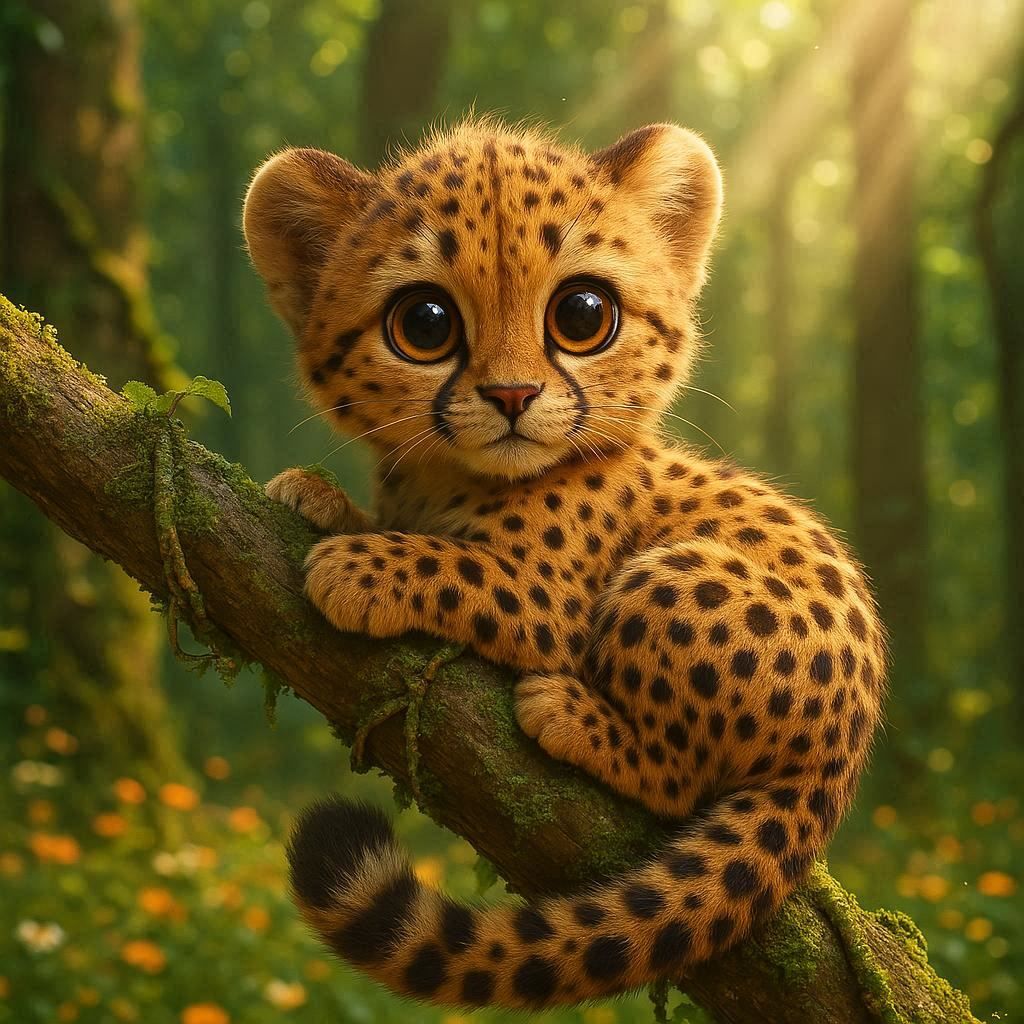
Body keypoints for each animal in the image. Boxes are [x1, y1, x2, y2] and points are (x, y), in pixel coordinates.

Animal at [243, 116, 887, 1010]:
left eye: (583, 315)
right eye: (426, 324)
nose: (512, 397)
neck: (448, 477)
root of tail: (839, 764)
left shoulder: (546, 600)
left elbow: (455, 563)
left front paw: (360, 567)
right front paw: (316, 496)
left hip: (673, 579)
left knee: (681, 780)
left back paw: (572, 716)